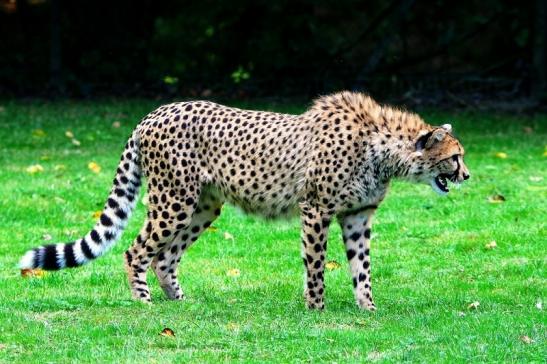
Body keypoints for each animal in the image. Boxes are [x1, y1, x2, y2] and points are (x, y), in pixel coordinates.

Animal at [19, 91, 468, 310]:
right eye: (455, 156)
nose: (467, 175)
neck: (382, 147)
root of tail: (154, 112)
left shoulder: (358, 215)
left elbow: (362, 268)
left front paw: (368, 309)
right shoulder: (316, 209)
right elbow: (316, 264)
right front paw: (316, 308)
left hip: (203, 205)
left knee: (165, 257)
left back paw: (180, 302)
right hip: (172, 200)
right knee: (136, 251)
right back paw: (143, 302)